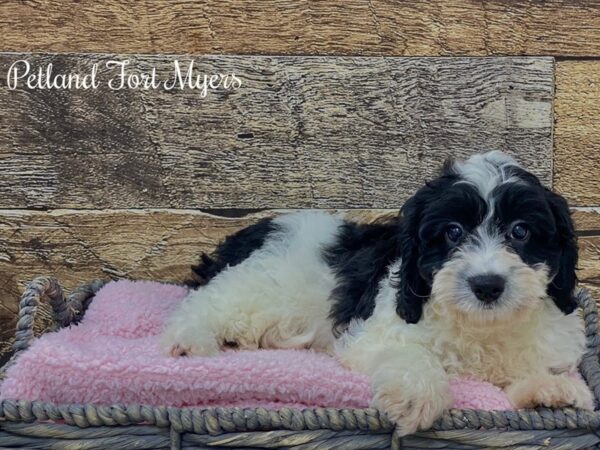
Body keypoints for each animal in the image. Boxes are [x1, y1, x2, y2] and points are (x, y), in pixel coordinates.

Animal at [161, 152, 596, 436]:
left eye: (520, 231)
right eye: (453, 232)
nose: (487, 284)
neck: (481, 326)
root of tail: (252, 230)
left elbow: (527, 369)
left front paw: (550, 390)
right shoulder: (375, 332)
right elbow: (413, 354)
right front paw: (418, 395)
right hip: (259, 282)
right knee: (203, 303)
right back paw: (190, 341)